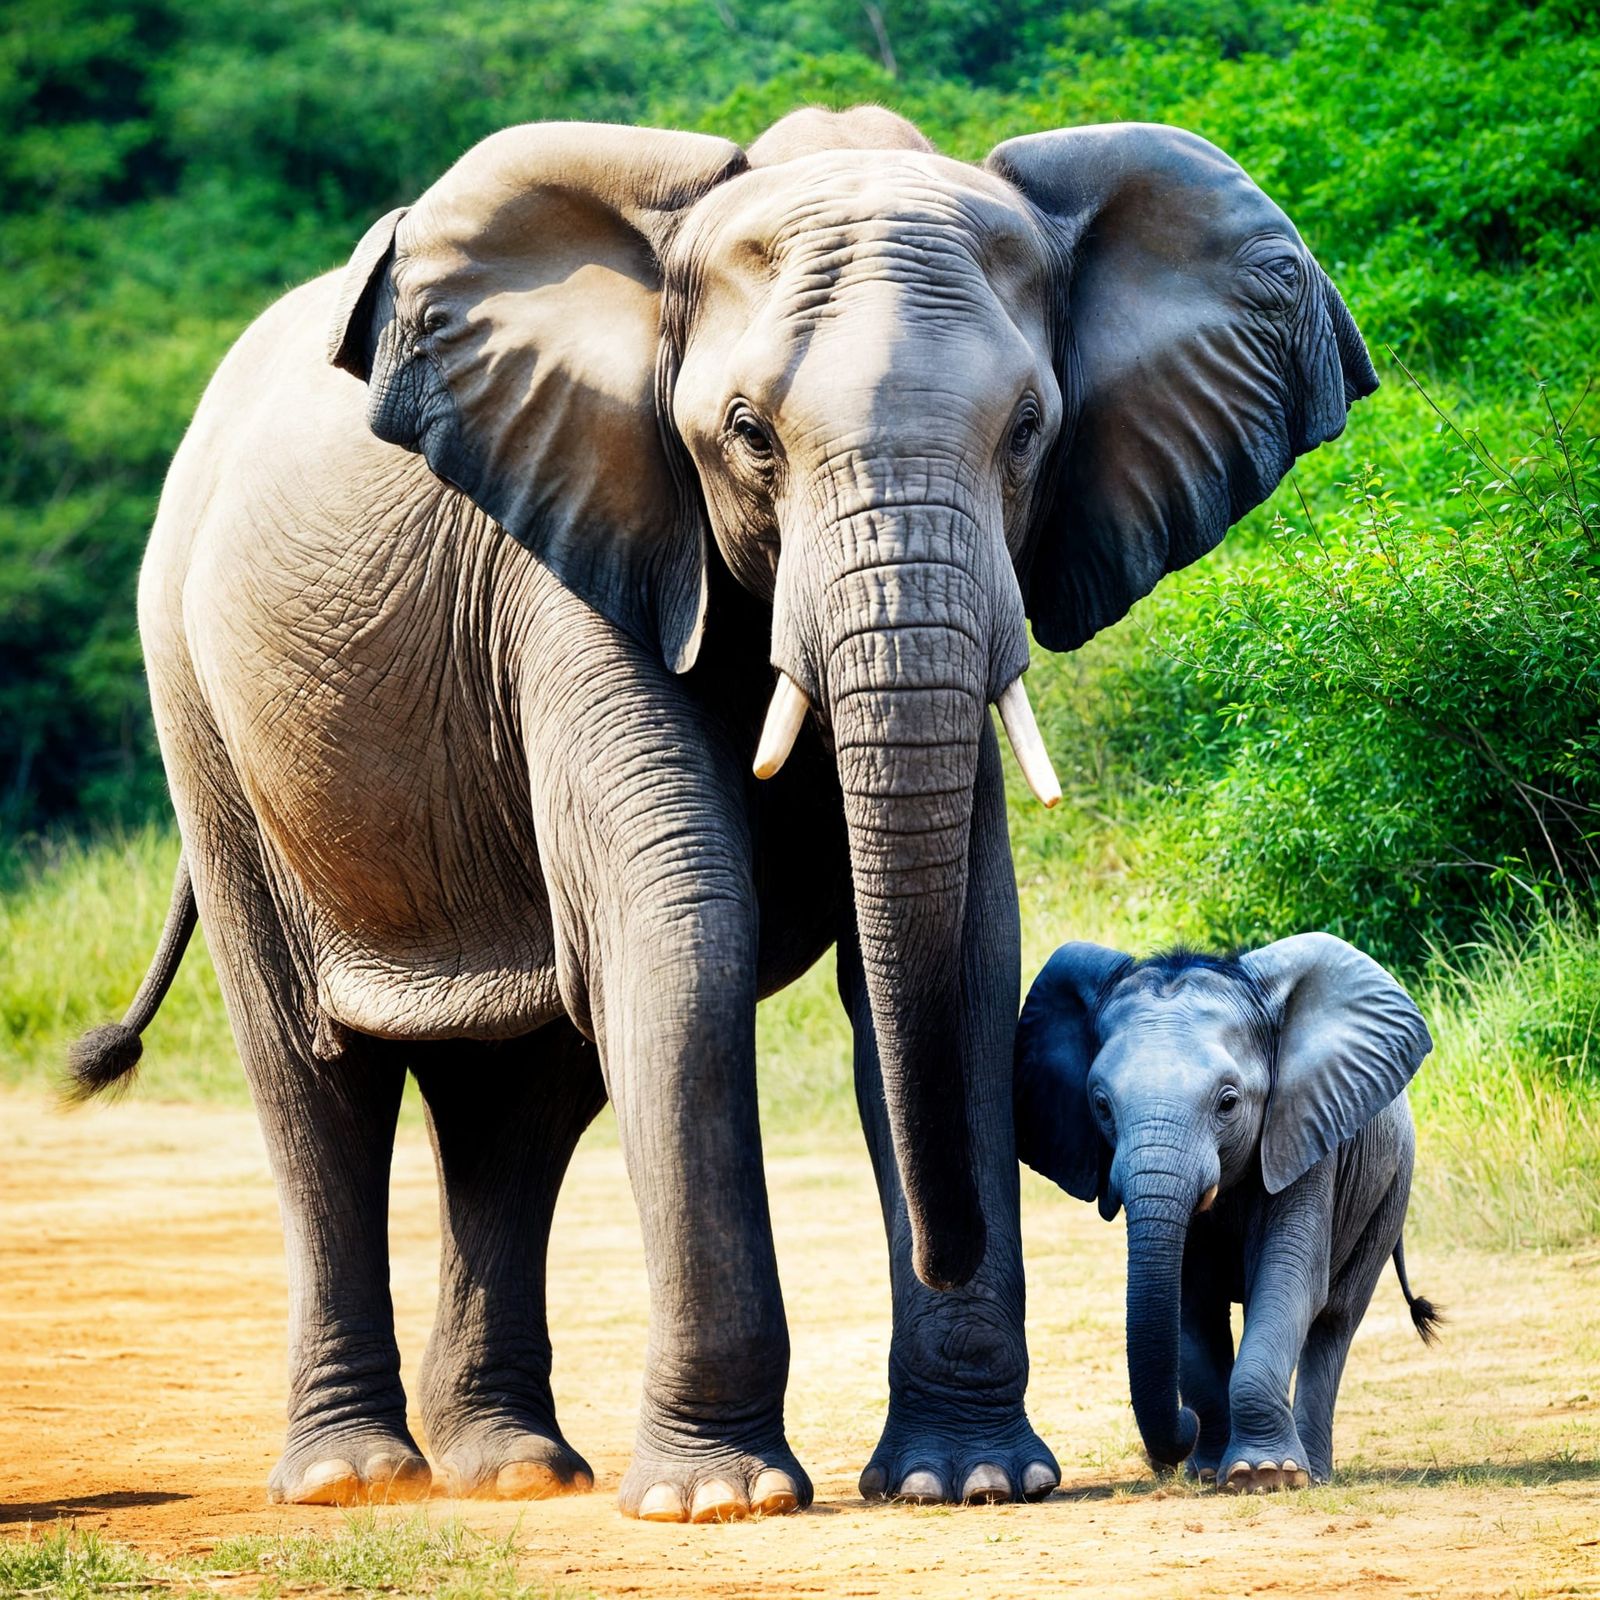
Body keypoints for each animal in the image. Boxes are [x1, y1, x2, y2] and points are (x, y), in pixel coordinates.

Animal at [71, 105, 1377, 1520]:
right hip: (198, 708)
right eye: (748, 432)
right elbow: (682, 930)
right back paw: (355, 1478)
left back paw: (517, 1470)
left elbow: (966, 951)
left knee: (518, 1102)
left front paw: (970, 1480)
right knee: (319, 1079)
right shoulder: (576, 548)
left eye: (1029, 429)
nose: (952, 1235)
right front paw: (723, 1499)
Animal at [1015, 935, 1440, 1490]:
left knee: (1336, 1320)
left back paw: (1316, 1473)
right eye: (1101, 1106)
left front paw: (1265, 1476)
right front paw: (1210, 1471)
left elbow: (1287, 1281)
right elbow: (1189, 1302)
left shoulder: (1305, 1136)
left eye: (1228, 1103)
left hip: (1390, 1190)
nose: (1176, 1437)